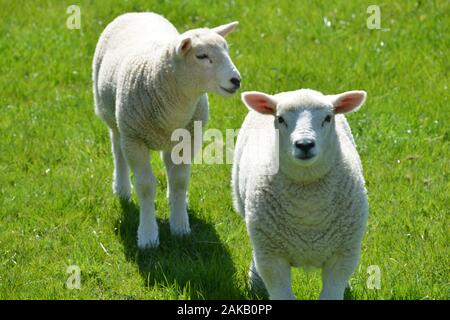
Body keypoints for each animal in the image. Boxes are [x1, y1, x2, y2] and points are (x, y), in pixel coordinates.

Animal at [93, 11, 241, 248]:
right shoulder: (134, 140)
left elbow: (180, 181)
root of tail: (137, 12)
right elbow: (145, 186)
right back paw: (122, 188)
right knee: (117, 149)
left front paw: (180, 225)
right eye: (201, 56)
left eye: (227, 50)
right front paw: (147, 236)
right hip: (114, 119)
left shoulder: (188, 138)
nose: (236, 80)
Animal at [232, 88, 370, 300]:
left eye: (328, 118)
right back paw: (255, 282)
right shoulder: (272, 258)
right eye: (280, 119)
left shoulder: (344, 256)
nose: (304, 144)